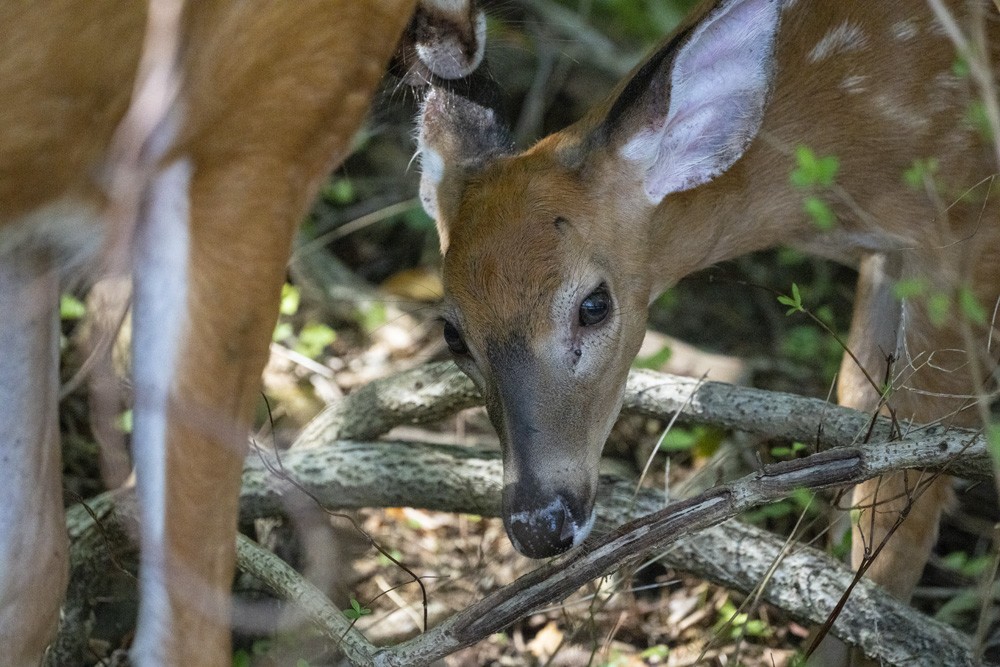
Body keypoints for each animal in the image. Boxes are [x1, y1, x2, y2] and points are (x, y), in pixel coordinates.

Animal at [416, 0, 1000, 652]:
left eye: (594, 305)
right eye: (453, 336)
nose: (540, 525)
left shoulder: (965, 232)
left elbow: (903, 499)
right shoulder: (891, 254)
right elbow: (861, 410)